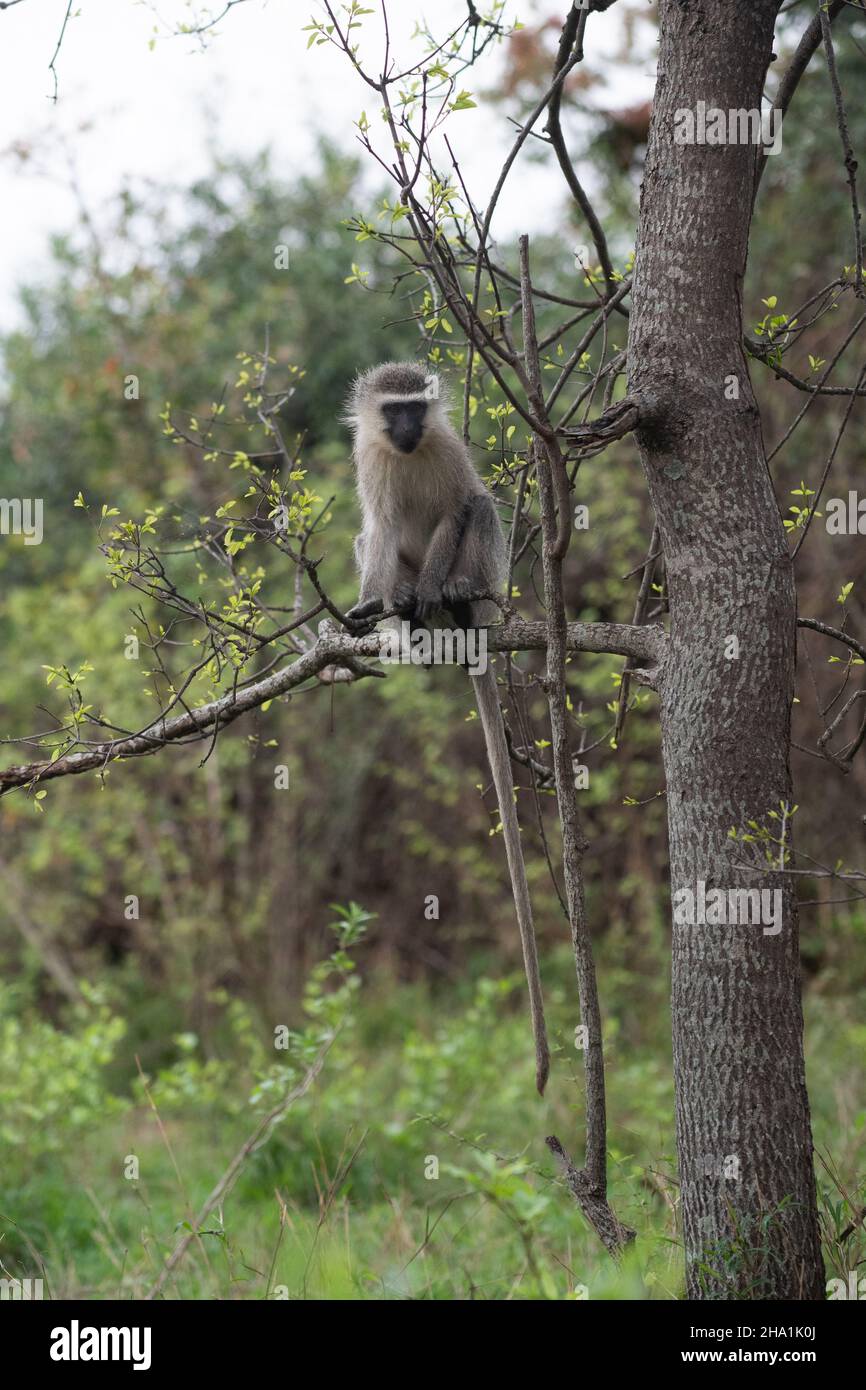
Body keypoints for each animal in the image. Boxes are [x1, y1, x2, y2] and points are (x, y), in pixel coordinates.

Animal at [343, 361, 547, 1095]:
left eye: (415, 408)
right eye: (392, 410)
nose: (406, 428)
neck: (406, 451)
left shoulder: (448, 453)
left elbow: (459, 508)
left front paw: (434, 587)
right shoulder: (371, 460)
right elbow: (378, 527)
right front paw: (376, 606)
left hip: (488, 578)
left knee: (481, 510)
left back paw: (451, 601)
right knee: (369, 540)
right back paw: (402, 614)